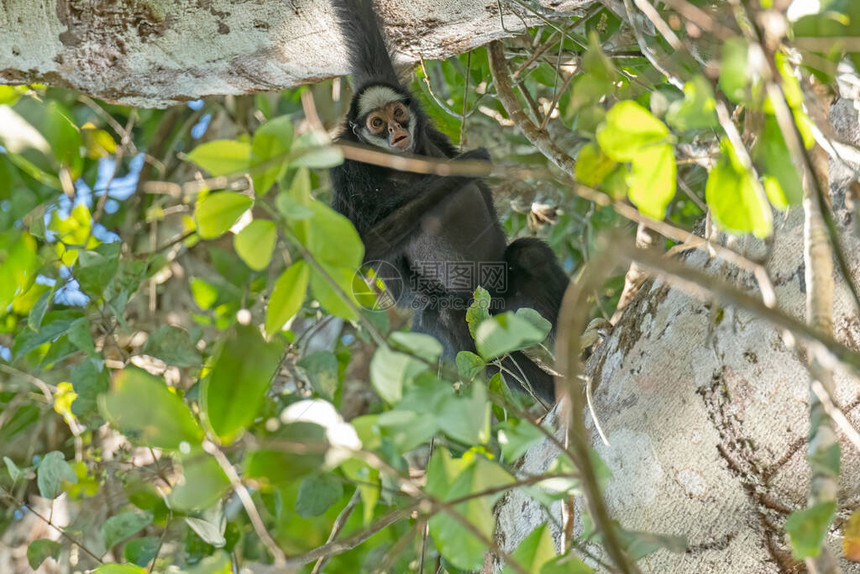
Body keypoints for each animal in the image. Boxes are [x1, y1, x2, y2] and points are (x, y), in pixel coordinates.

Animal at [330, 0, 572, 404]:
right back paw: (557, 393)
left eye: (398, 114)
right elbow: (360, 249)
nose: (395, 131)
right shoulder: (347, 167)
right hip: (463, 309)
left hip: (503, 292)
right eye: (377, 123)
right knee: (451, 323)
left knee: (529, 256)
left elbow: (363, 30)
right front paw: (465, 167)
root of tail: (490, 301)